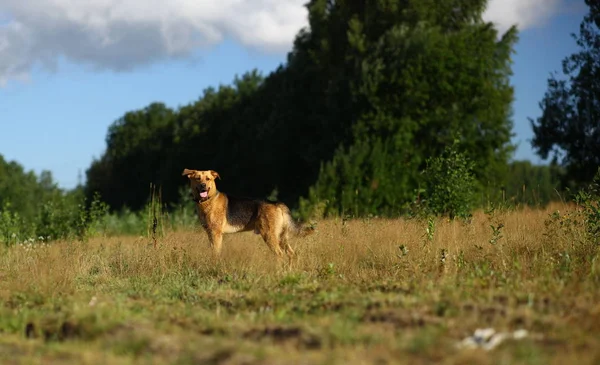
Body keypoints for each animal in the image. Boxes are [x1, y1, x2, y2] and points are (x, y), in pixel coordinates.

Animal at [182, 168, 314, 258]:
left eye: (208, 179)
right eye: (197, 178)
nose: (203, 185)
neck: (208, 200)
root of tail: (277, 204)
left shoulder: (216, 233)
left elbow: (216, 252)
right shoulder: (210, 233)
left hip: (269, 235)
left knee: (280, 254)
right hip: (281, 236)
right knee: (291, 254)